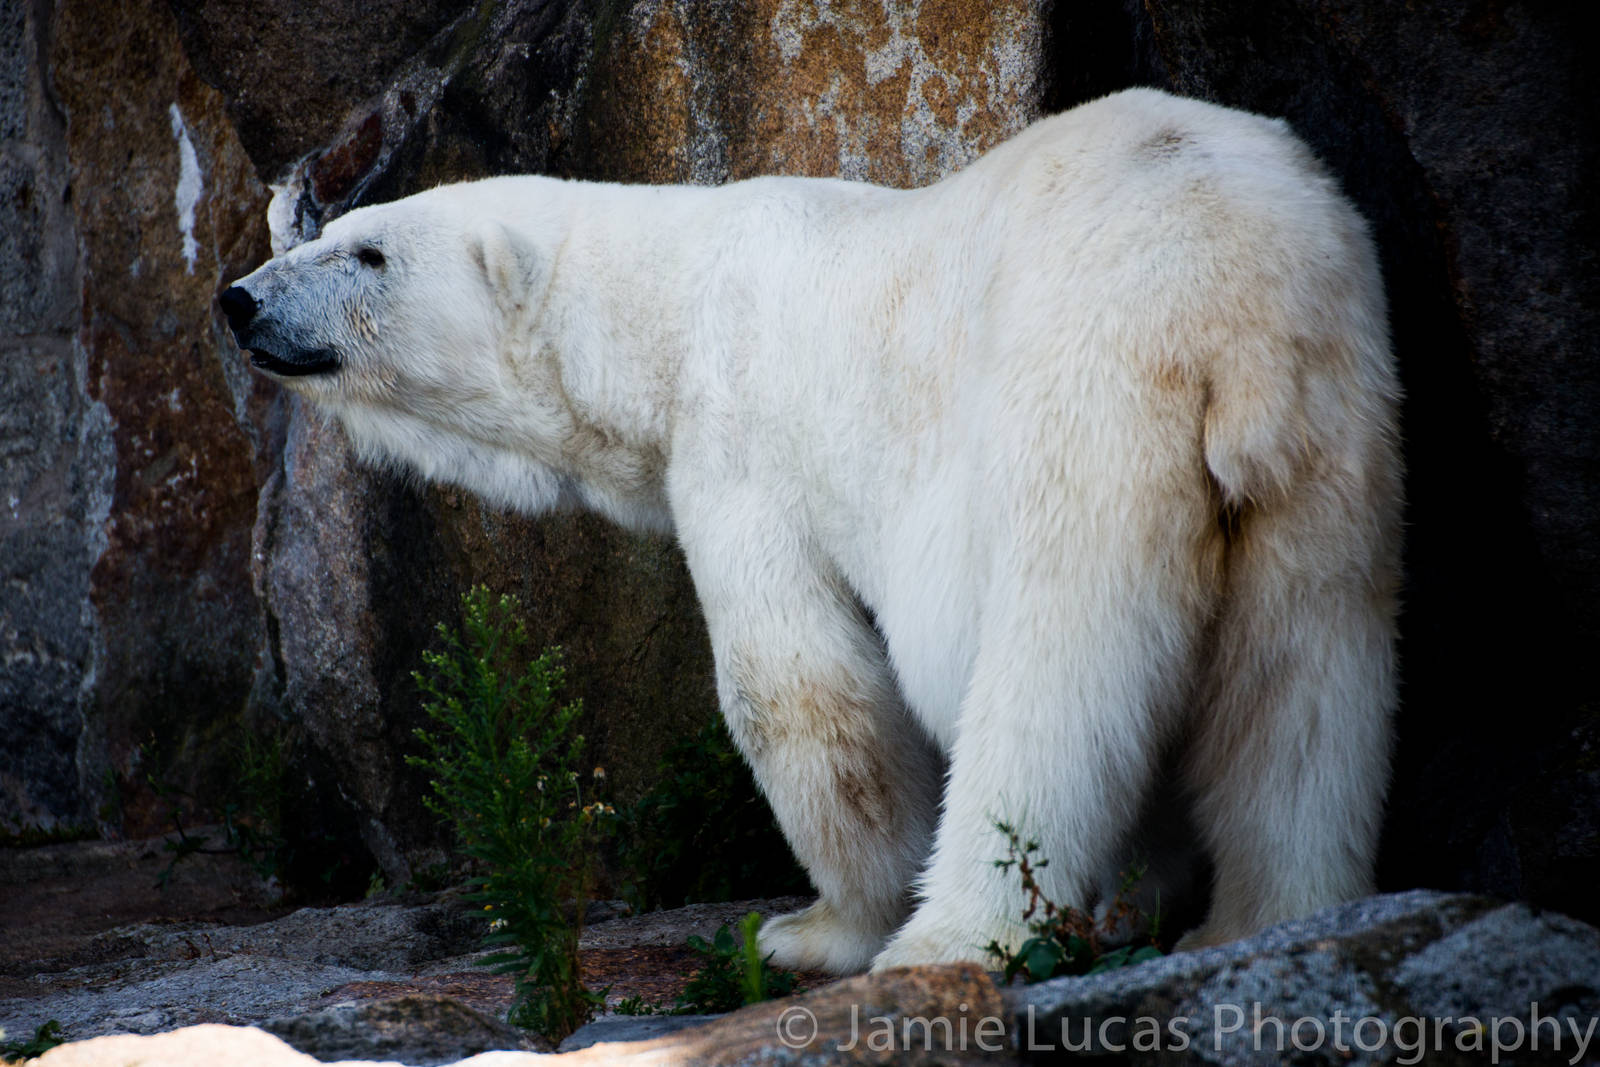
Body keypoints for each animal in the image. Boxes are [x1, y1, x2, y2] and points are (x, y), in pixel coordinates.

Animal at [220, 88, 1402, 974]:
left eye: (367, 254)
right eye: (321, 234)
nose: (238, 299)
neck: (667, 298)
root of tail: (1224, 312)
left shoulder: (740, 439)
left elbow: (797, 682)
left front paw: (811, 928)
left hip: (1084, 391)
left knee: (1055, 666)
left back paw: (951, 937)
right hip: (1329, 412)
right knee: (1302, 680)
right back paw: (1261, 917)